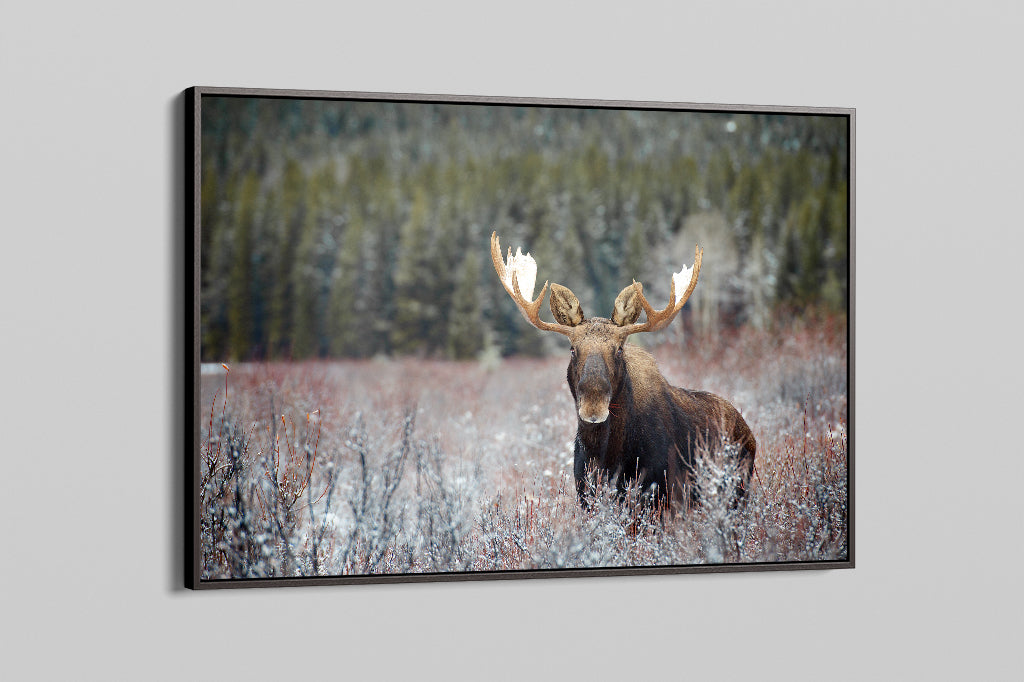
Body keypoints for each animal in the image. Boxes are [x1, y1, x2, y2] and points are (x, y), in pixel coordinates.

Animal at [490, 231, 756, 515]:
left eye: (619, 349)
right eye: (573, 349)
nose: (593, 407)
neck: (606, 455)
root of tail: (749, 432)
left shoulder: (659, 496)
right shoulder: (586, 495)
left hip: (736, 492)